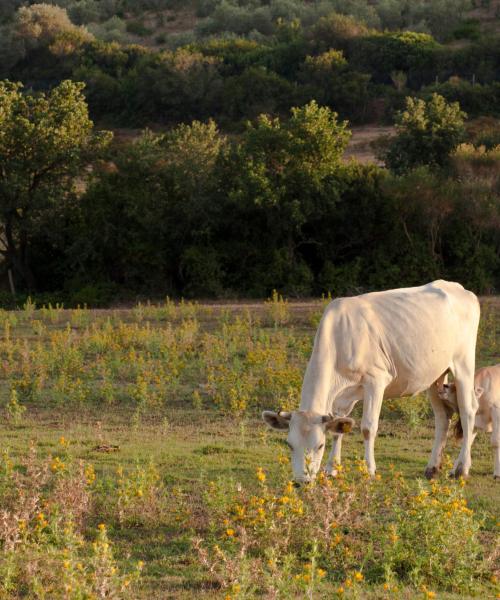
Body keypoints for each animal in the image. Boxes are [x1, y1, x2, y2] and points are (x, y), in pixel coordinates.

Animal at [264, 282, 478, 482]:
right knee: (442, 417)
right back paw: (432, 468)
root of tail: (459, 288)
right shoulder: (341, 397)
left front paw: (369, 470)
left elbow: (368, 427)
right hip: (435, 375)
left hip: (464, 363)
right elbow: (338, 429)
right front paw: (332, 468)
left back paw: (461, 468)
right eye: (289, 445)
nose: (302, 481)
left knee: (468, 411)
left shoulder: (376, 380)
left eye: (319, 445)